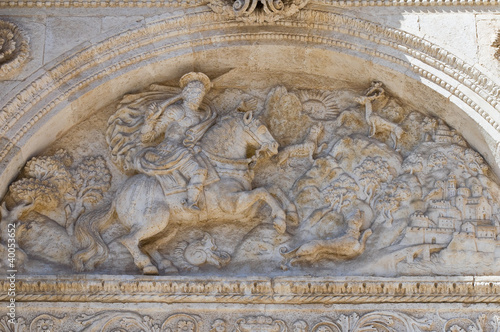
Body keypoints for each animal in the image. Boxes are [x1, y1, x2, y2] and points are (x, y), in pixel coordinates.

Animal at [72, 111, 288, 274]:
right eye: (262, 128)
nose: (275, 146)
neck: (221, 165)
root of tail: (118, 195)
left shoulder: (245, 211)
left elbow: (273, 189)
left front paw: (290, 211)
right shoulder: (233, 205)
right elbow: (263, 191)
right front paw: (280, 220)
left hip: (169, 227)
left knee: (147, 245)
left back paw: (167, 265)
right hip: (155, 220)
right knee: (128, 240)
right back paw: (147, 266)